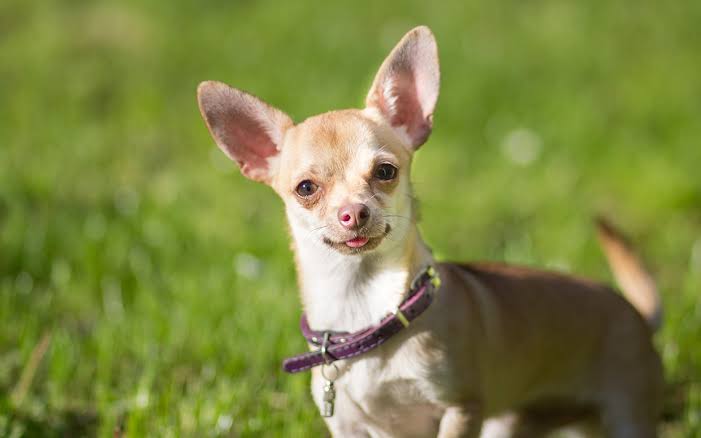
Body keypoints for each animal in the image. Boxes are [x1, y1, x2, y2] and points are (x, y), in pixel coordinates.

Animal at [197, 26, 660, 438]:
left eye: (386, 172)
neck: (364, 309)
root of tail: (638, 315)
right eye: (305, 188)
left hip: (625, 414)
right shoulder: (349, 426)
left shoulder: (460, 409)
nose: (354, 213)